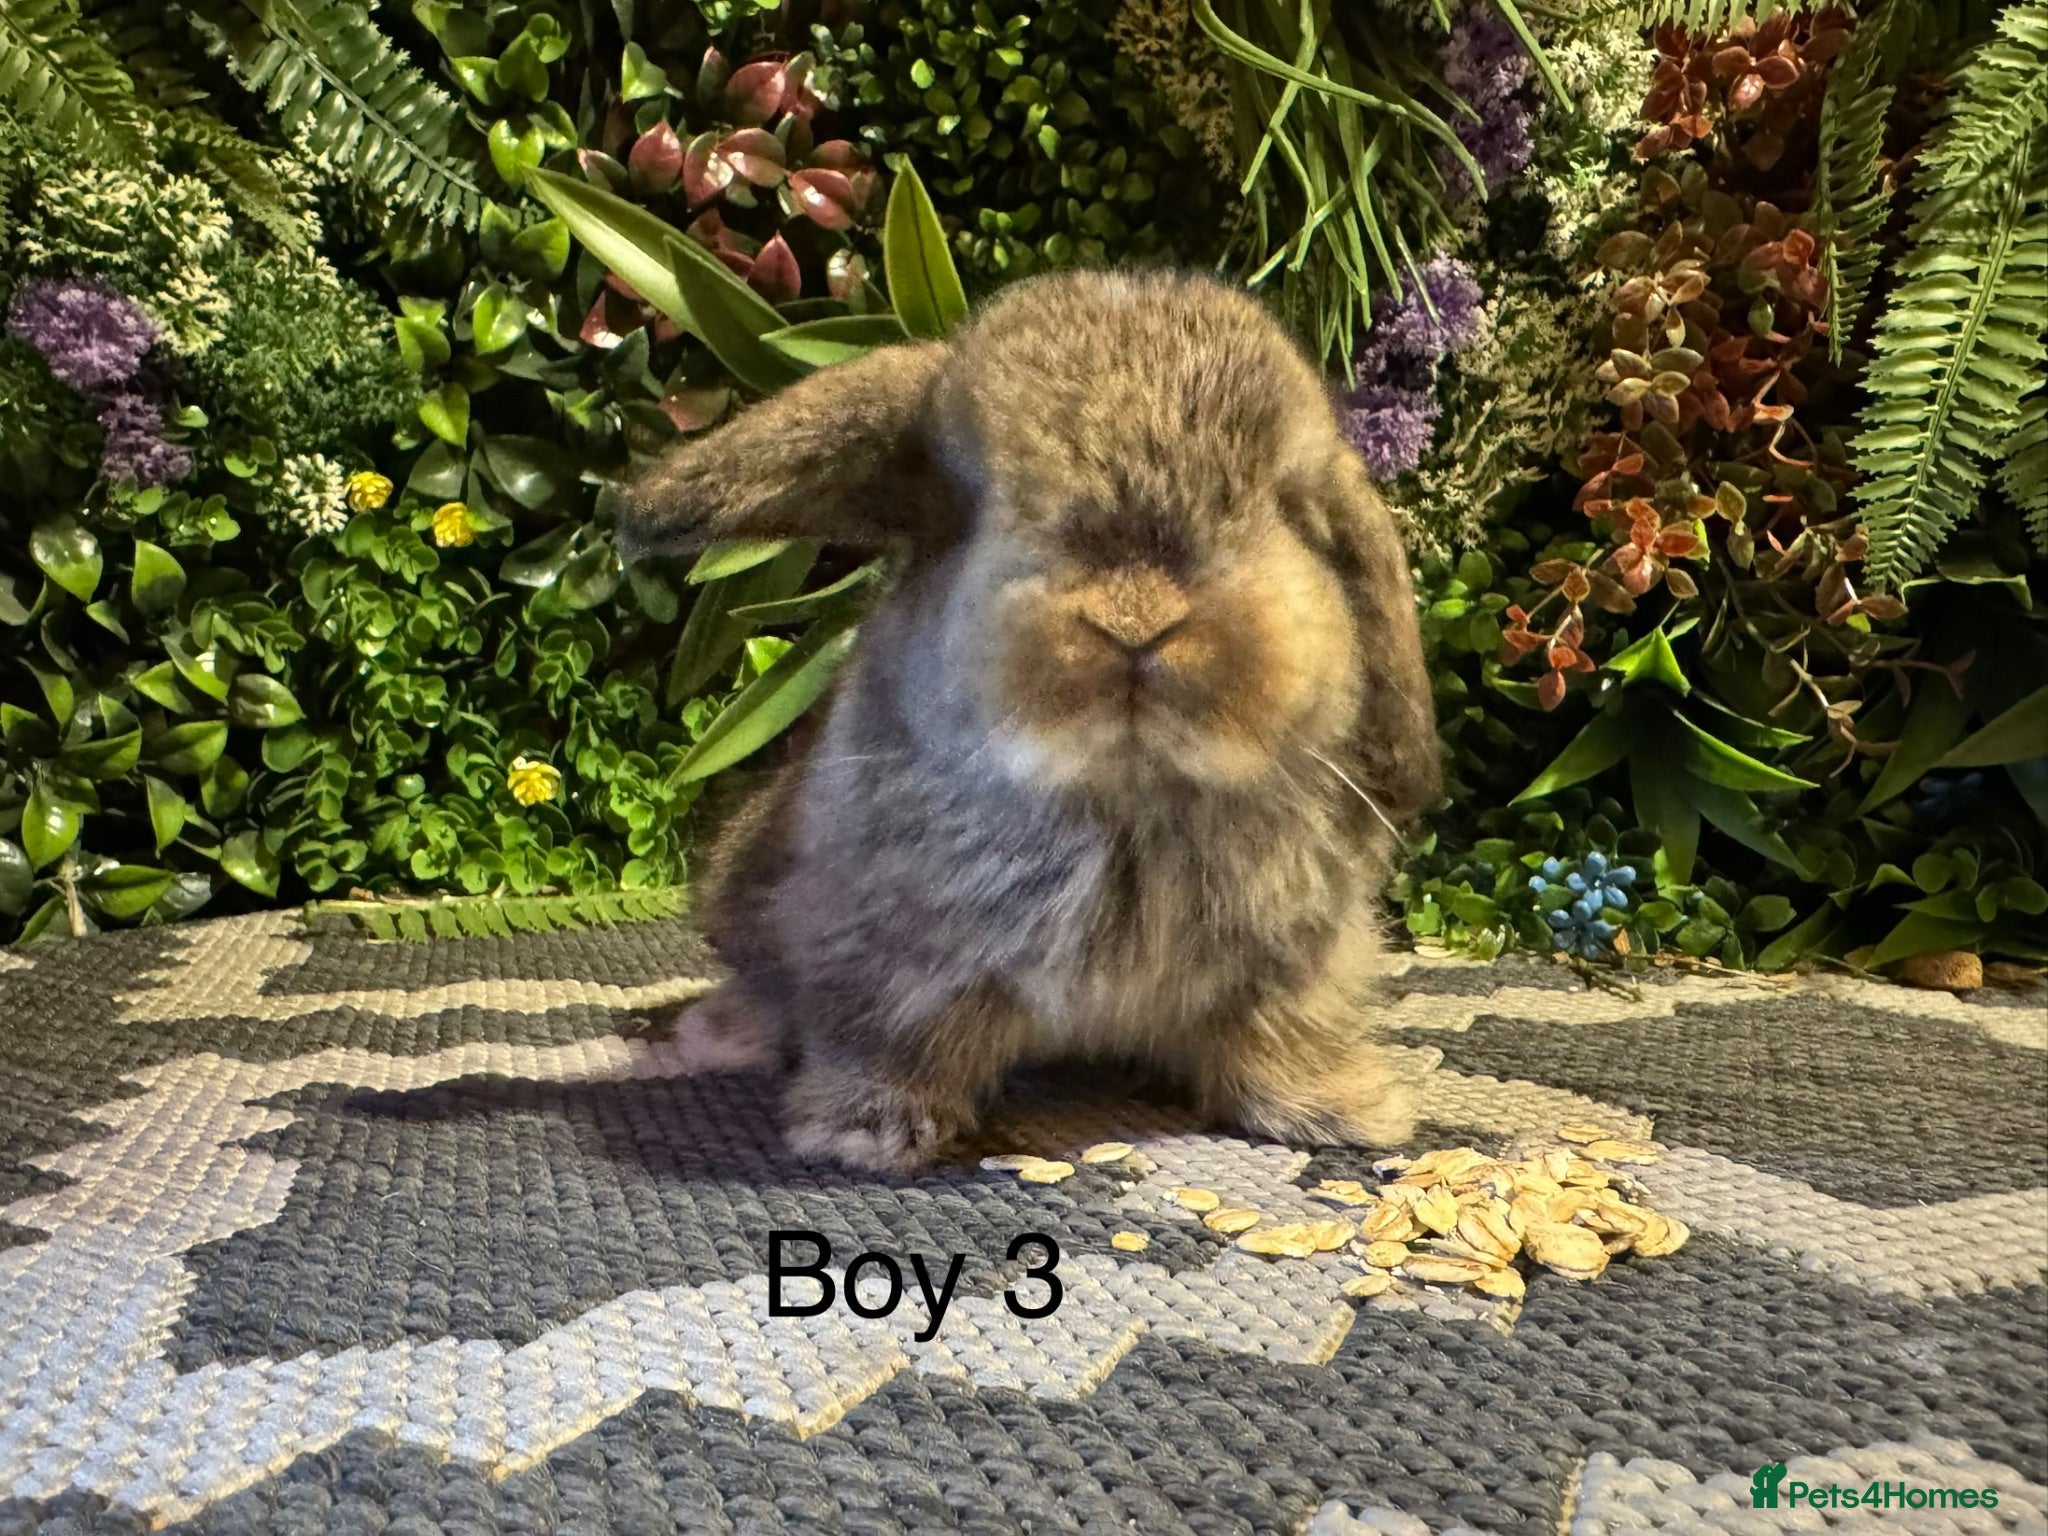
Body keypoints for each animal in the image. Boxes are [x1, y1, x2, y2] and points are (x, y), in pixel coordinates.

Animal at [619, 267, 1442, 1173]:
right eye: (970, 497)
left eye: (1290, 506)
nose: (1134, 621)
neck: (1128, 799)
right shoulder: (893, 961)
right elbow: (893, 1042)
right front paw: (865, 1131)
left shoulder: (1292, 966)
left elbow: (1275, 1041)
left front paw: (1346, 1110)